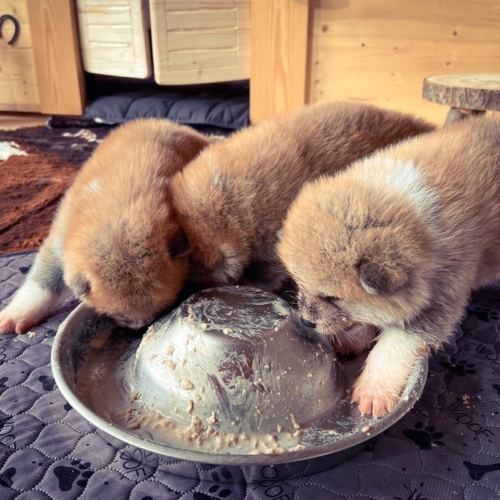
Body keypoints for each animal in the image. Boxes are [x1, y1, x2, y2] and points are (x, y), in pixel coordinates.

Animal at [0, 119, 215, 334]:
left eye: (162, 308)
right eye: (119, 315)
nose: (138, 326)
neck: (116, 212)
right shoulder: (58, 242)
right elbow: (44, 282)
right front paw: (16, 315)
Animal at [280, 116, 500, 418]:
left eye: (333, 297)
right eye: (298, 283)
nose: (305, 321)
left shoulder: (438, 303)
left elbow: (393, 346)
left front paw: (374, 390)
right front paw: (352, 338)